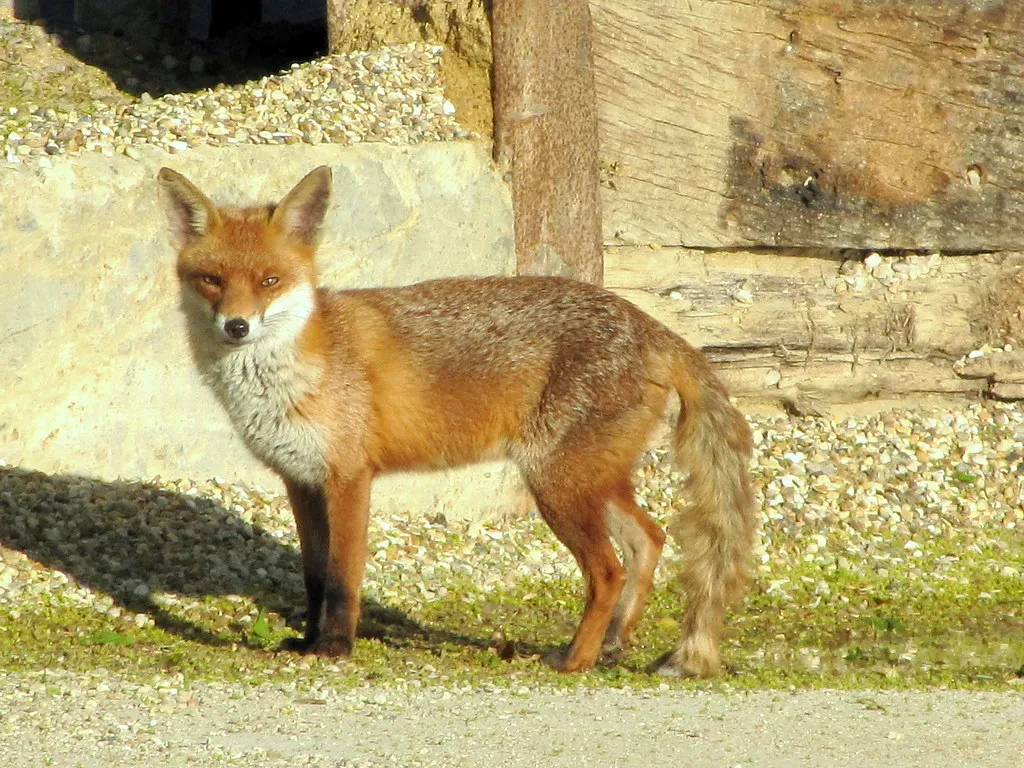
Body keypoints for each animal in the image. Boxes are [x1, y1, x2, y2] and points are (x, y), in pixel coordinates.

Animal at [157, 165, 758, 677]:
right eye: (211, 279)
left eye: (269, 281)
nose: (237, 327)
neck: (296, 371)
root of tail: (648, 323)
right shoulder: (301, 481)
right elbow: (313, 578)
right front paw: (306, 641)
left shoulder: (349, 477)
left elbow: (342, 580)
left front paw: (334, 648)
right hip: (588, 481)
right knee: (649, 540)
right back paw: (613, 643)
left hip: (556, 485)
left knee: (608, 571)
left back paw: (576, 660)